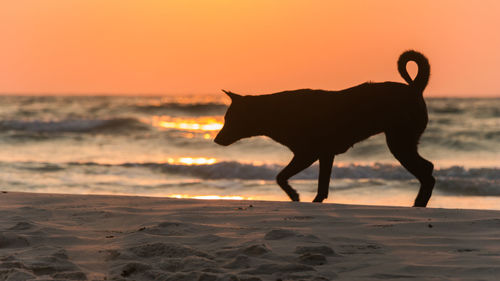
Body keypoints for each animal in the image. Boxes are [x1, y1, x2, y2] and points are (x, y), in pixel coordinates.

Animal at [214, 49, 434, 206]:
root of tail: (414, 88)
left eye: (230, 119)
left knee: (427, 171)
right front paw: (316, 201)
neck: (276, 112)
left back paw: (419, 203)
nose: (216, 139)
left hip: (400, 142)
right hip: (403, 142)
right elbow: (322, 184)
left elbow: (281, 176)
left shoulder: (307, 154)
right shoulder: (326, 155)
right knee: (427, 169)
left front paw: (295, 195)